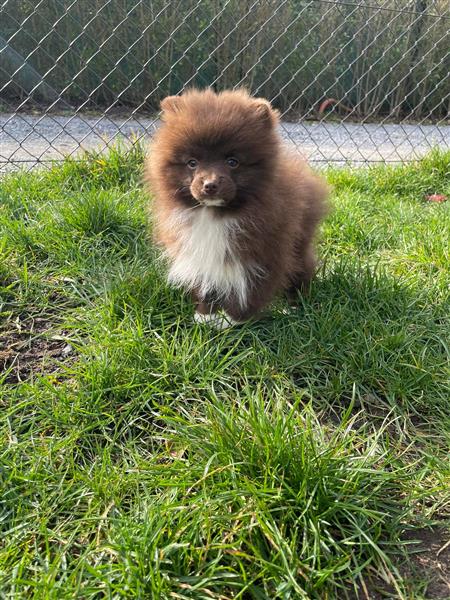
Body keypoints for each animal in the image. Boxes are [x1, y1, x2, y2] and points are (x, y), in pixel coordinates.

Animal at [146, 88, 328, 328]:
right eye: (192, 163)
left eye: (233, 162)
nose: (210, 184)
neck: (215, 214)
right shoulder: (199, 248)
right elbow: (208, 278)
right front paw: (206, 314)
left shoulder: (265, 250)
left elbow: (250, 286)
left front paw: (233, 318)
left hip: (299, 240)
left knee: (301, 266)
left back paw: (295, 303)